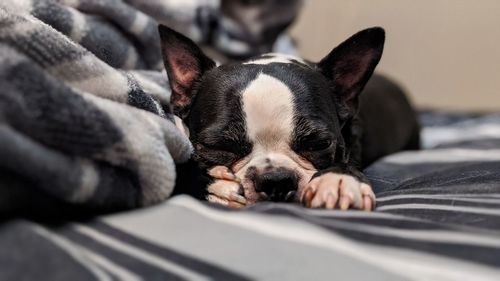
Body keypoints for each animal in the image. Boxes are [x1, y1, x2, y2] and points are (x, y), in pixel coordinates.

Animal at [160, 24, 418, 210]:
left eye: (319, 144)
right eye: (217, 147)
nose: (276, 180)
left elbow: (347, 161)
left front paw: (339, 180)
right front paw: (212, 186)